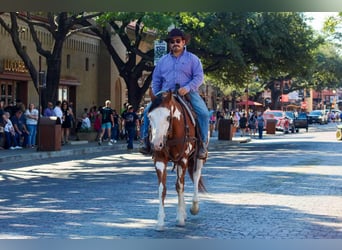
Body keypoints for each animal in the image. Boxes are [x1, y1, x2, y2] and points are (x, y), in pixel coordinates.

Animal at [147, 90, 206, 230]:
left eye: (168, 117)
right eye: (150, 117)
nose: (156, 144)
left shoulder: (183, 160)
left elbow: (180, 186)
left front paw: (180, 218)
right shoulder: (160, 160)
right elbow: (162, 189)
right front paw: (160, 222)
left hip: (198, 157)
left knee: (196, 176)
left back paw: (194, 207)